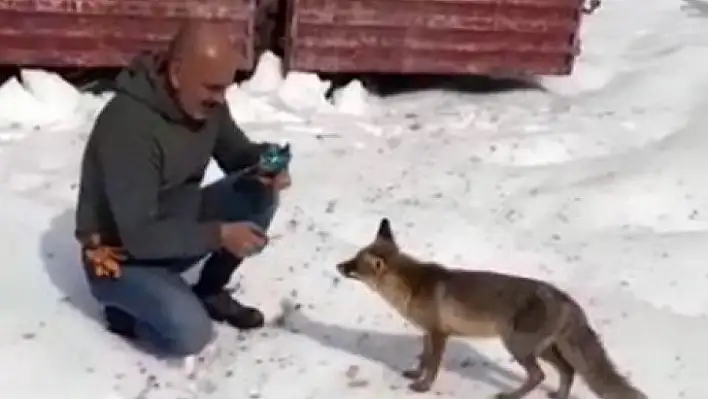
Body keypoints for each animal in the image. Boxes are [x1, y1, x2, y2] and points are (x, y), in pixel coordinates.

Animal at [334, 219, 644, 399]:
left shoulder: (439, 334)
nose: (338, 266)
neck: (410, 288)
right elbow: (423, 359)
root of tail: (566, 299)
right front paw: (414, 375)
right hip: (544, 349)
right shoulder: (427, 332)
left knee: (539, 375)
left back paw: (511, 396)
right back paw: (557, 396)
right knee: (567, 372)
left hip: (517, 346)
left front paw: (423, 387)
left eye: (354, 263)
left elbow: (432, 365)